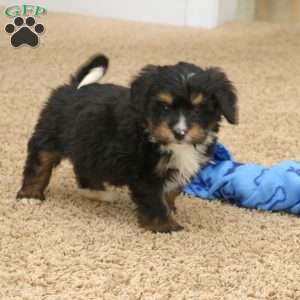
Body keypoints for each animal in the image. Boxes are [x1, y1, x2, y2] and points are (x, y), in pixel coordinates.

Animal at [17, 53, 239, 232]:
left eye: (198, 109)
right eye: (165, 107)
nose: (179, 132)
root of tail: (72, 87)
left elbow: (171, 191)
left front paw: (170, 209)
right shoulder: (145, 172)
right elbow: (154, 200)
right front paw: (165, 226)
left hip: (87, 142)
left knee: (84, 166)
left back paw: (97, 192)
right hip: (49, 137)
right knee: (39, 164)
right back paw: (30, 195)